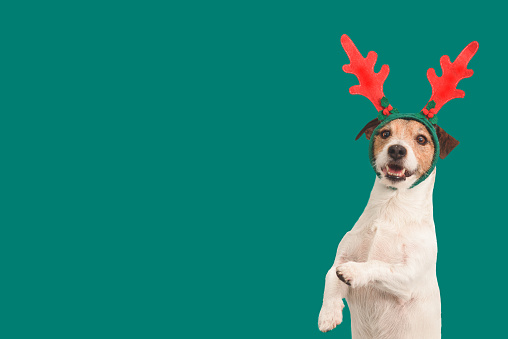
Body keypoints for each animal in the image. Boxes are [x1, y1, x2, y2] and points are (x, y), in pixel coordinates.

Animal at [316, 35, 478, 338]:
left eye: (422, 139)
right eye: (385, 133)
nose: (397, 150)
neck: (391, 207)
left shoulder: (409, 277)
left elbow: (379, 265)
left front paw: (353, 272)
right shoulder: (340, 255)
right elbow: (330, 274)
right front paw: (328, 313)